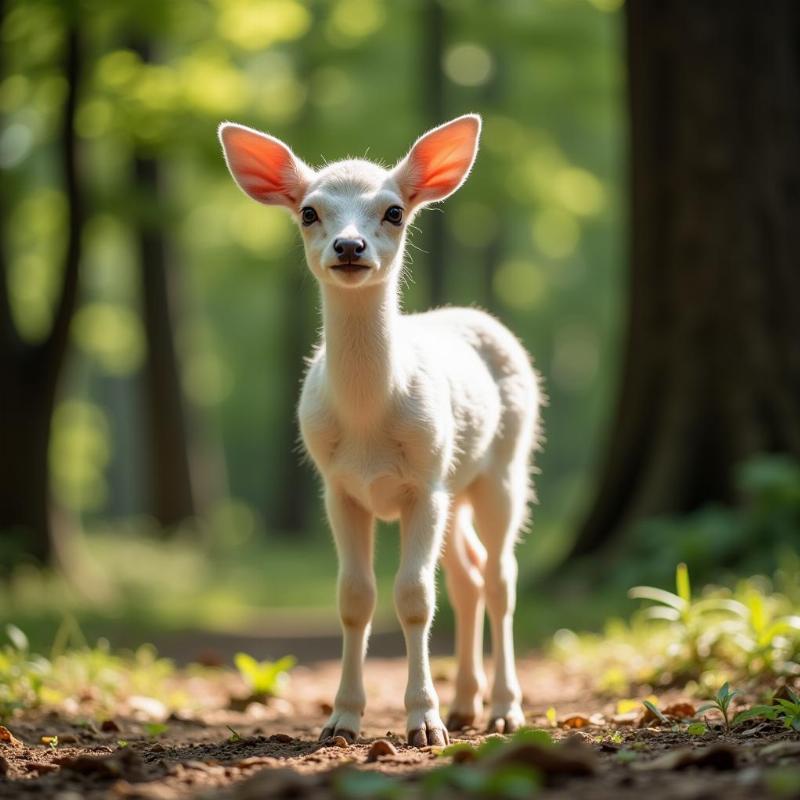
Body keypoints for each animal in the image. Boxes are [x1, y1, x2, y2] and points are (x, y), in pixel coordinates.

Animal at [219, 115, 540, 748]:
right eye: (309, 212)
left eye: (394, 211)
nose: (349, 246)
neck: (369, 422)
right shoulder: (337, 486)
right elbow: (355, 597)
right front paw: (341, 720)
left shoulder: (424, 481)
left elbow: (414, 598)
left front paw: (423, 724)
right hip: (456, 487)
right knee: (467, 577)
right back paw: (466, 705)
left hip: (502, 466)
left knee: (500, 577)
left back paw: (503, 710)